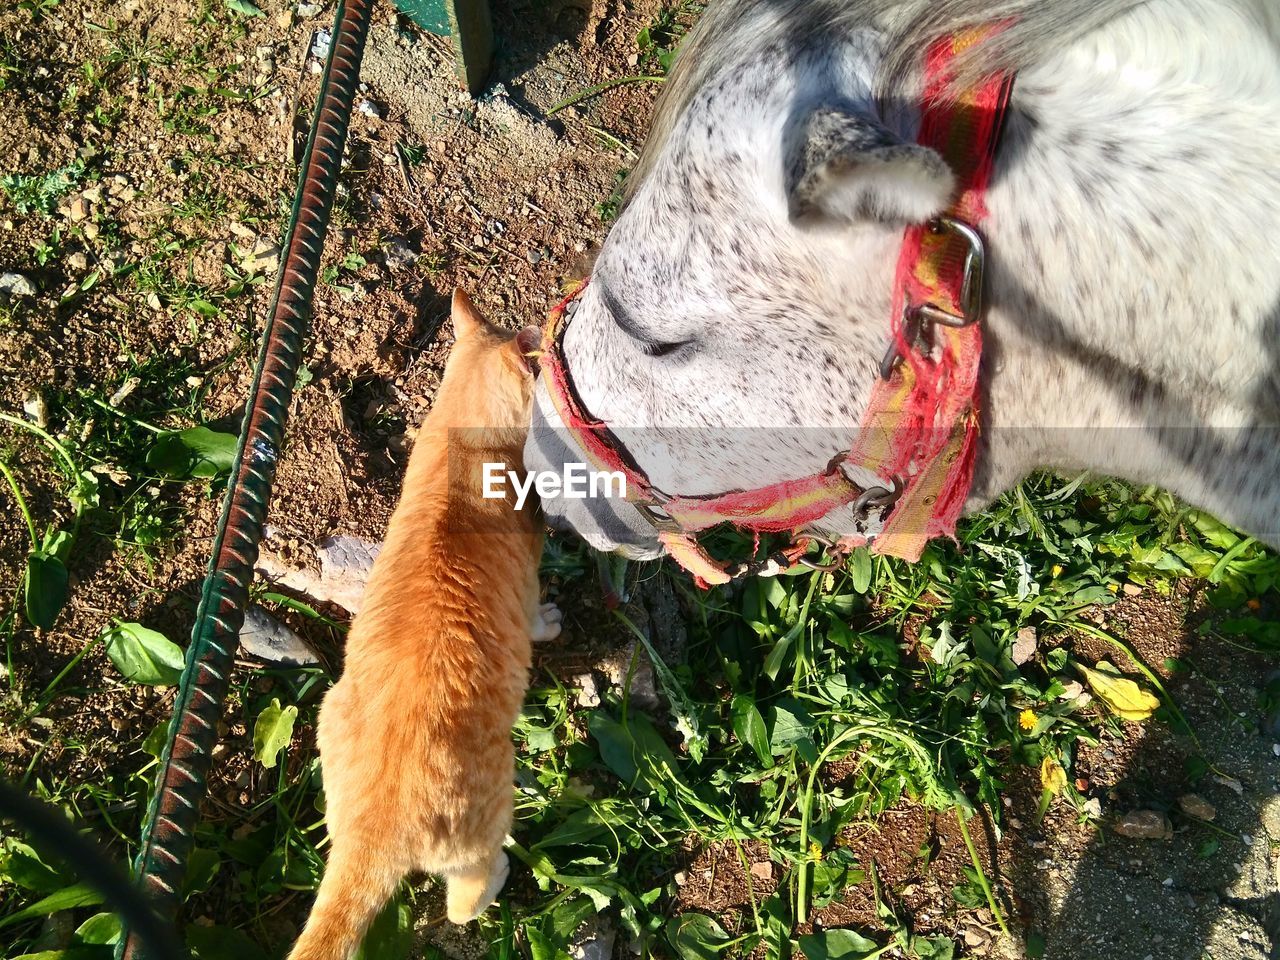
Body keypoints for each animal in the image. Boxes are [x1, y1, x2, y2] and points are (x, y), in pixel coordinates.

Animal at [288, 291, 558, 960]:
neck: (463, 440)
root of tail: (372, 830)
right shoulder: (528, 578)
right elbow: (536, 614)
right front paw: (549, 621)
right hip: (488, 811)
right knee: (464, 899)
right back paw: (497, 880)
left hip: (331, 715)